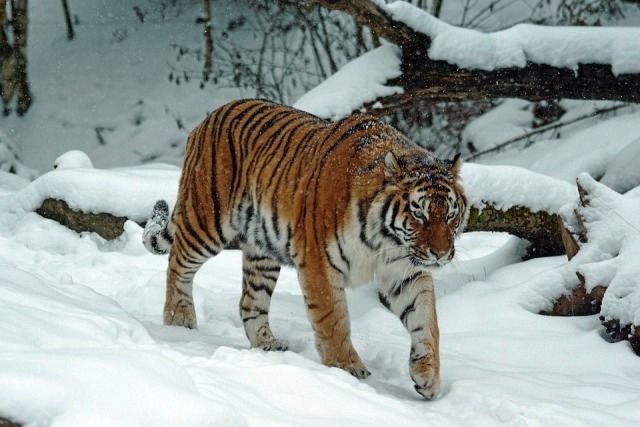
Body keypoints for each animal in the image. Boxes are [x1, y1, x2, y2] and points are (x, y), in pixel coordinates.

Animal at [142, 98, 468, 400]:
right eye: (419, 214)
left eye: (450, 214)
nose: (441, 254)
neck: (386, 241)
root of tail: (210, 116)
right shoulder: (319, 263)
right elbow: (333, 320)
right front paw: (346, 367)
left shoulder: (405, 270)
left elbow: (427, 319)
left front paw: (428, 377)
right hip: (207, 220)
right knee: (178, 264)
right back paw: (179, 320)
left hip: (262, 252)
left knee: (250, 302)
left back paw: (267, 344)